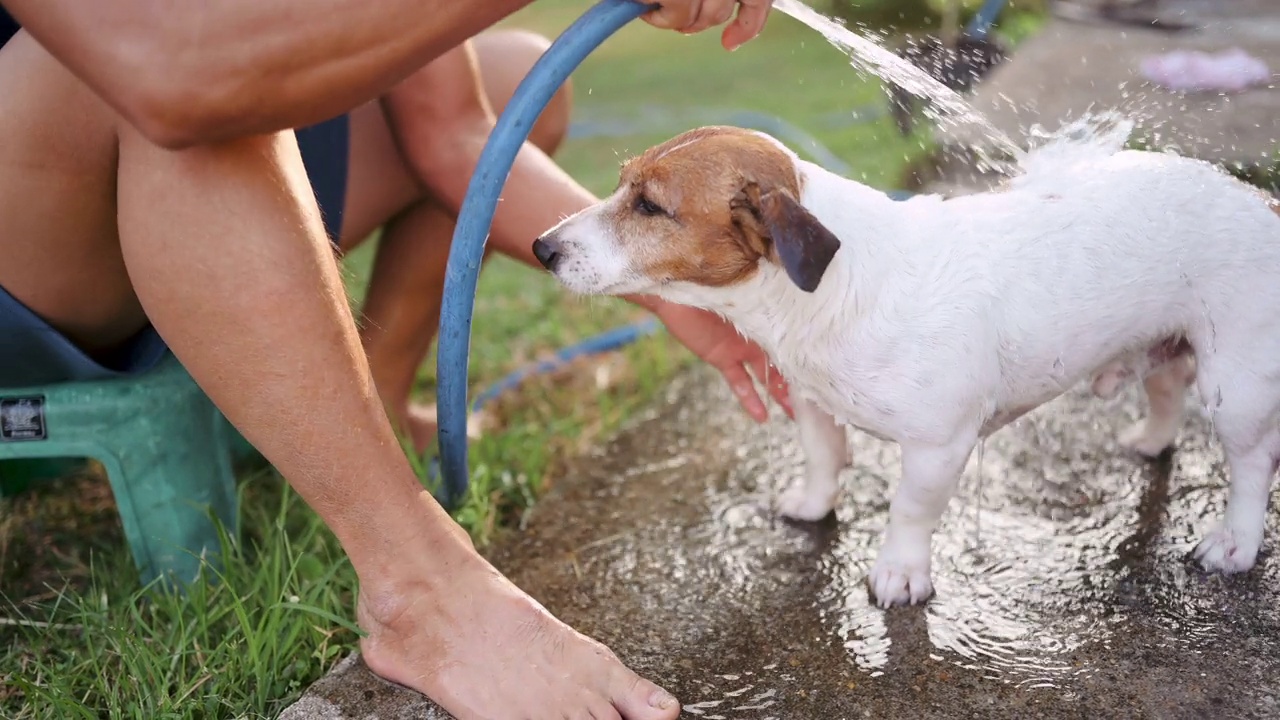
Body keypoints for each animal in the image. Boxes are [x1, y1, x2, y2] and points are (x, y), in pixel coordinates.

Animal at [532, 122, 1280, 604]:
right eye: (623, 185)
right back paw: (1151, 440)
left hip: (1236, 385)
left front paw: (898, 574)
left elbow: (910, 512)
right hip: (1169, 345)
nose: (541, 247)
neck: (831, 290)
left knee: (1251, 465)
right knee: (1168, 388)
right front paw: (813, 505)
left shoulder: (937, 445)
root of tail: (1262, 201)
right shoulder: (812, 403)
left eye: (650, 206)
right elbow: (822, 458)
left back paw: (1234, 544)